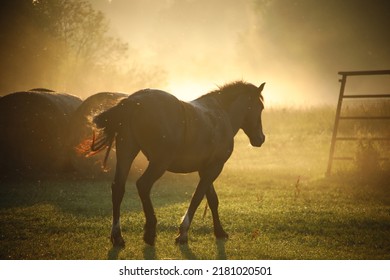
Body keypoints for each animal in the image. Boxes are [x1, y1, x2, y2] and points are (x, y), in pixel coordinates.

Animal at [88, 80, 266, 246]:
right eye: (260, 107)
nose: (261, 138)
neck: (220, 115)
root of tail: (134, 101)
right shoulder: (214, 167)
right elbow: (197, 197)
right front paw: (183, 232)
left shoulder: (206, 169)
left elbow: (212, 199)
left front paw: (219, 231)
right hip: (159, 162)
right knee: (143, 185)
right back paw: (150, 231)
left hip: (126, 154)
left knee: (118, 188)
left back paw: (117, 236)